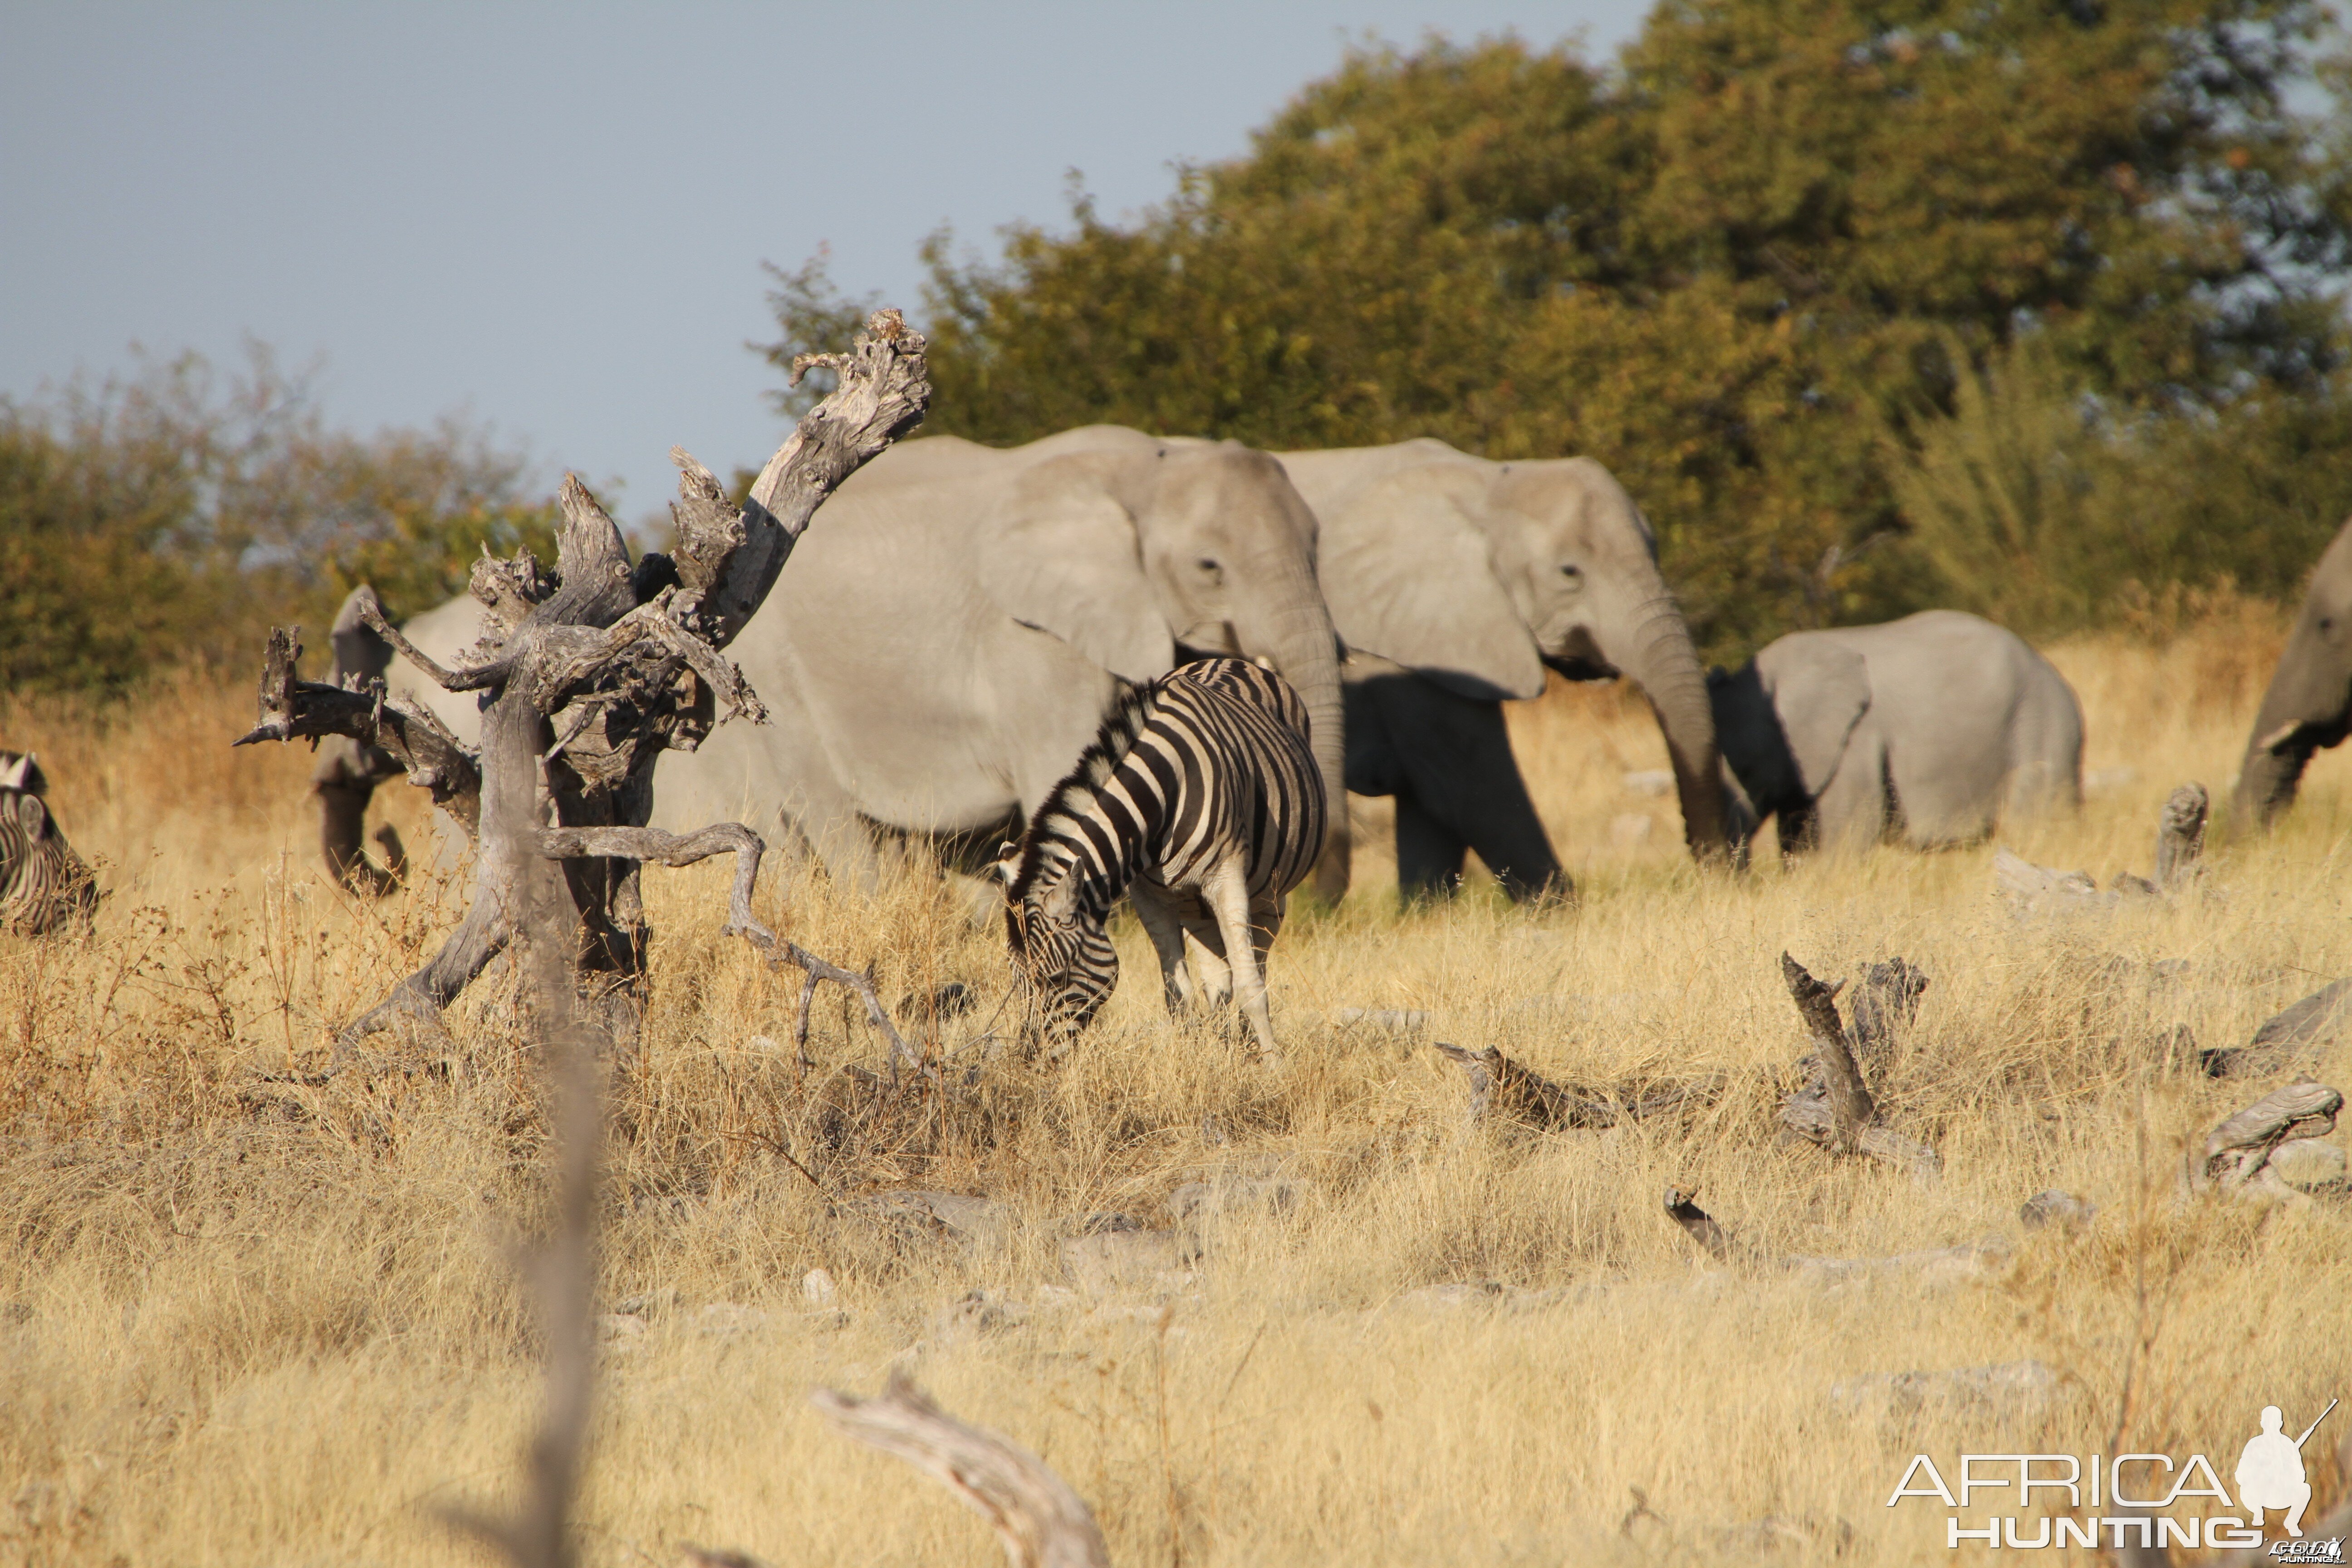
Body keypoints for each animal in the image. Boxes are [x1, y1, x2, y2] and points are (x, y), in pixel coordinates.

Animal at [383, 425, 1345, 893]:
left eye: (1318, 544)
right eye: (1209, 568)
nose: (1315, 892)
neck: (1147, 466)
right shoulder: (1030, 644)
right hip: (781, 682)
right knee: (839, 828)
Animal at [988, 649, 1326, 1067]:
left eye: (1056, 978)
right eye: (1016, 983)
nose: (1029, 1062)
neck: (1163, 793)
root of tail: (1228, 658)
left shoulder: (1227, 878)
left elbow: (1251, 984)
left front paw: (1274, 1067)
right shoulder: (1149, 896)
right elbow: (1177, 994)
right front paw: (1194, 1064)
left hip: (1269, 891)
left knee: (1256, 958)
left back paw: (1250, 1044)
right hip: (1194, 903)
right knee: (1217, 976)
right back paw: (1227, 1044)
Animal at [1270, 442, 1731, 907]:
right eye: (1569, 573)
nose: (1717, 869)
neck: (1486, 483)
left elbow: (1432, 809)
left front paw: (1425, 915)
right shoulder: (1418, 644)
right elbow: (1471, 786)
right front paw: (1561, 913)